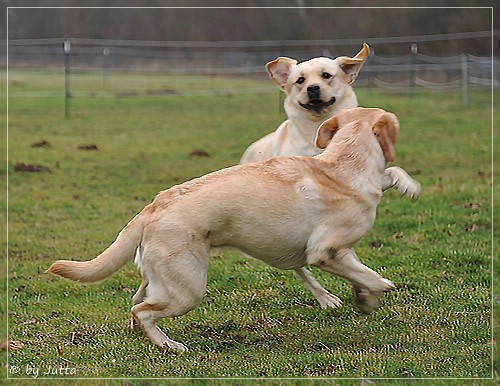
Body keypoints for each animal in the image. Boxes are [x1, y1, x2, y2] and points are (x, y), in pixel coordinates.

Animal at [49, 107, 410, 352]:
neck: (343, 166)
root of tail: (154, 206)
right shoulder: (326, 252)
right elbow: (369, 276)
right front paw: (378, 289)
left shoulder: (341, 251)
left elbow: (358, 271)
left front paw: (363, 298)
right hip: (188, 289)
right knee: (143, 310)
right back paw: (169, 345)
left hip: (162, 280)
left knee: (136, 304)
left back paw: (148, 337)